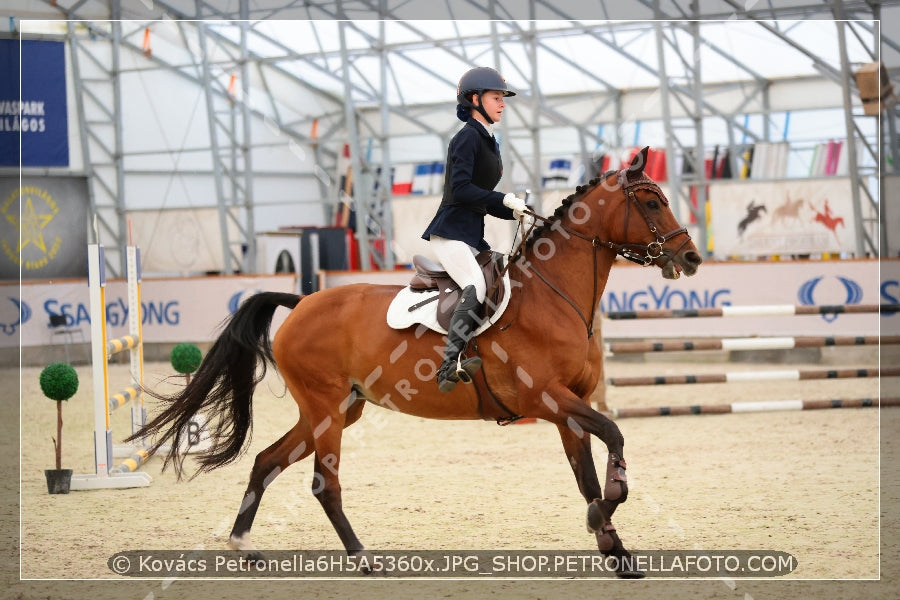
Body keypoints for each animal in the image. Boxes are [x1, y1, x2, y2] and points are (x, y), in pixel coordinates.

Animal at [126, 145, 704, 576]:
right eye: (651, 201)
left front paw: (614, 548)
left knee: (268, 460)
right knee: (324, 484)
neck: (552, 294)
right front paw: (606, 511)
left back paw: (243, 546)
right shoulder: (548, 398)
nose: (691, 257)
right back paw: (362, 559)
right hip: (327, 410)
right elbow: (616, 438)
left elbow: (587, 472)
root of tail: (303, 301)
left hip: (337, 409)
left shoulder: (569, 408)